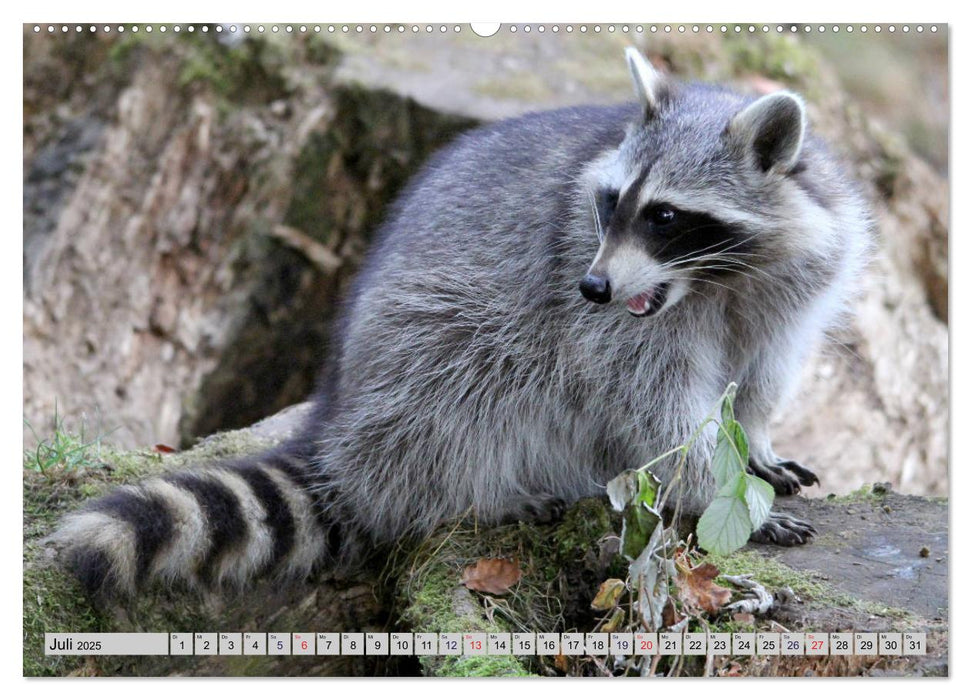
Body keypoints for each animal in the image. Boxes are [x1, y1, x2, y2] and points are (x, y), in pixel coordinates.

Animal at [51, 46, 872, 600]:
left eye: (665, 216)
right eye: (611, 204)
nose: (594, 286)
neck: (712, 280)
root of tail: (339, 416)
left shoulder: (792, 284)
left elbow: (762, 373)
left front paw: (754, 444)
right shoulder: (606, 322)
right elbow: (655, 408)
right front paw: (711, 488)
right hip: (424, 339)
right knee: (465, 389)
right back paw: (480, 489)